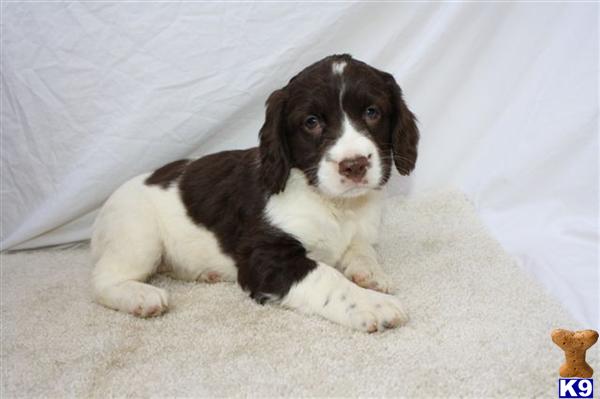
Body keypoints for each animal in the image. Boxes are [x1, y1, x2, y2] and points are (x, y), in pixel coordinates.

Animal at [91, 54, 420, 334]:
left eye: (372, 112)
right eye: (311, 122)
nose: (354, 165)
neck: (333, 204)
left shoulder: (359, 232)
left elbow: (361, 249)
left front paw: (371, 275)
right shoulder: (266, 258)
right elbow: (326, 277)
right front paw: (371, 305)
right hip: (138, 236)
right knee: (102, 280)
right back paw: (140, 296)